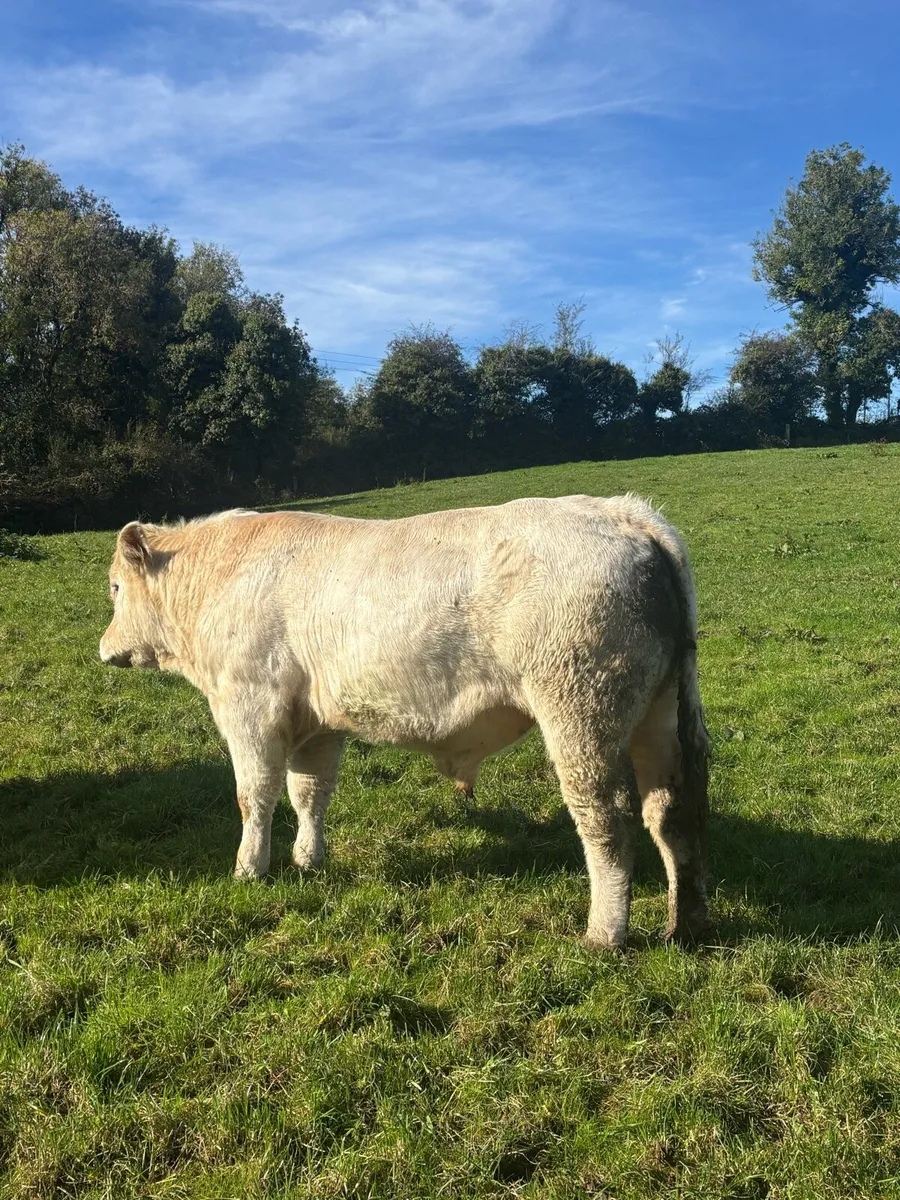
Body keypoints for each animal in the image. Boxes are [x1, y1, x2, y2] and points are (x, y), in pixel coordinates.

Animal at [99, 495, 710, 949]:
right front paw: (308, 860)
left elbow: (256, 795)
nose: (104, 649)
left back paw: (604, 934)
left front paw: (250, 868)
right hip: (660, 714)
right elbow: (309, 793)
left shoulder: (250, 706)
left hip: (580, 711)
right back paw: (686, 922)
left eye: (114, 586)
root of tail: (625, 513)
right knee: (674, 810)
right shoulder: (317, 724)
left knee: (607, 819)